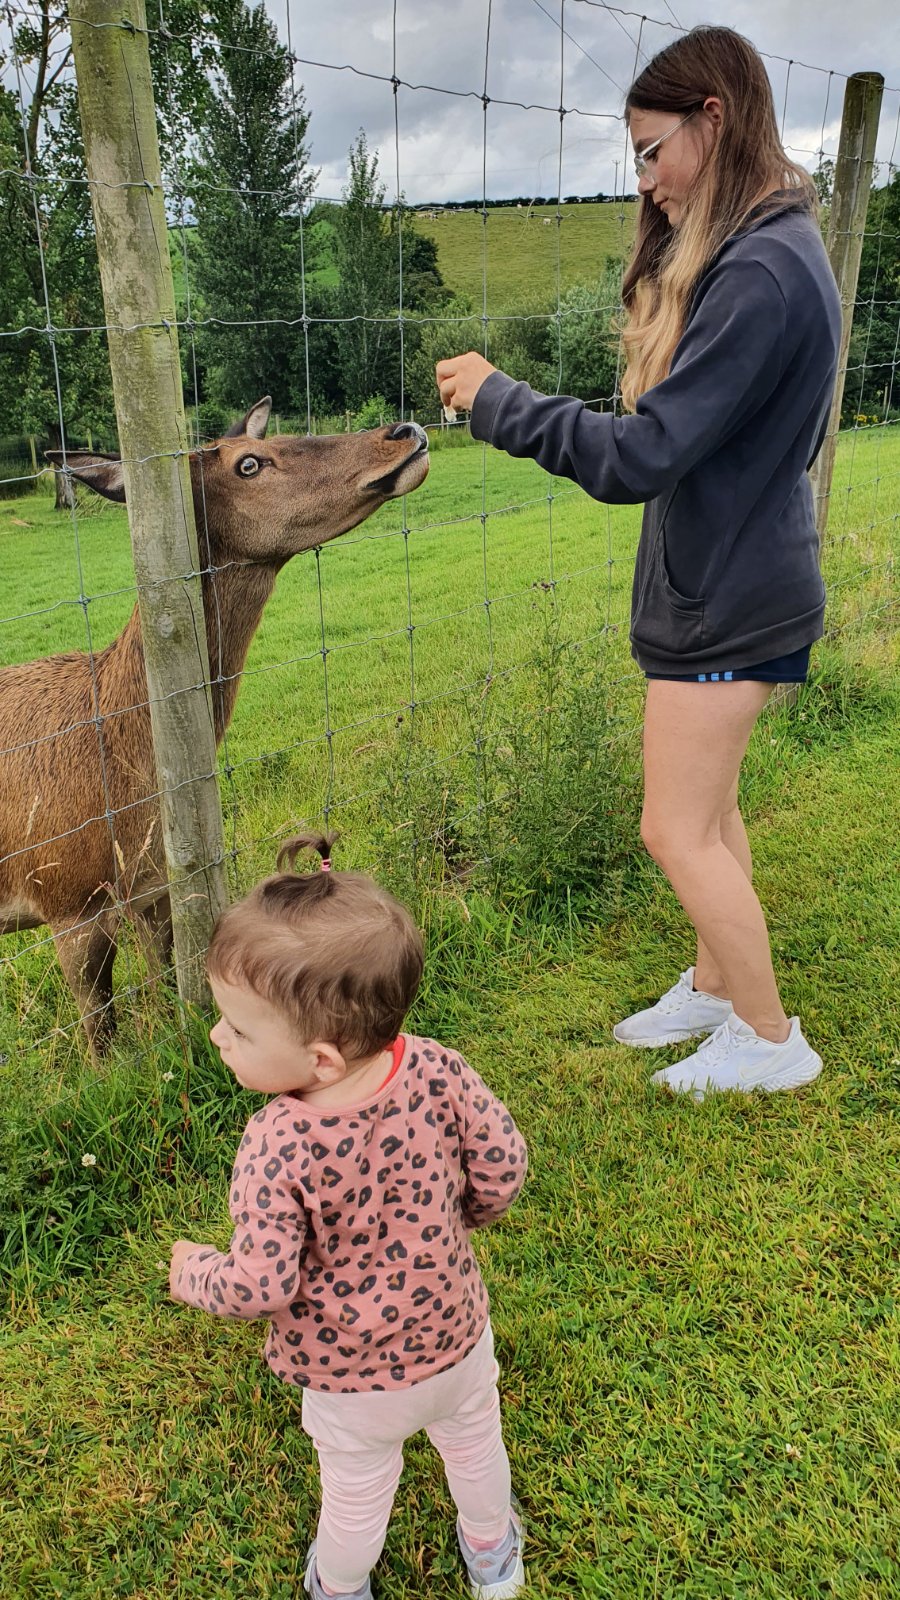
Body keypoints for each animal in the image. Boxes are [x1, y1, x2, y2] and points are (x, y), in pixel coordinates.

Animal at [0, 398, 429, 1055]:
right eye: (249, 462)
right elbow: (99, 1031)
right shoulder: (66, 894)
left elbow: (163, 981)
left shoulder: (153, 889)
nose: (404, 431)